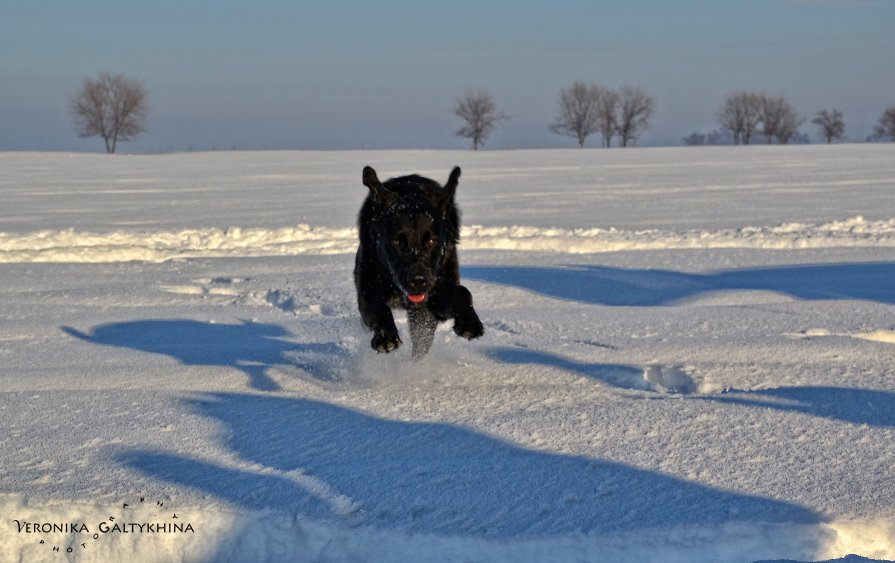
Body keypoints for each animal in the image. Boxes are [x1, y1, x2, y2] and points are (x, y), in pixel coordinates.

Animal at [356, 165, 484, 360]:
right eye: (397, 242)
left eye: (431, 241)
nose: (418, 281)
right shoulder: (366, 288)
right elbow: (378, 307)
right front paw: (386, 337)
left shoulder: (435, 298)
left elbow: (463, 292)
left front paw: (469, 323)